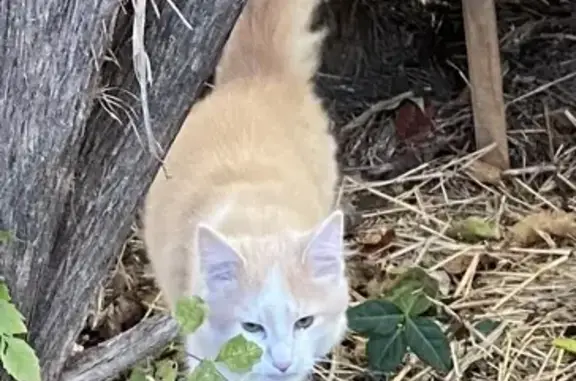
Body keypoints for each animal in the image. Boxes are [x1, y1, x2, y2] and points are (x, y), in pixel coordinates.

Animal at [144, 0, 352, 378]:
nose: (283, 363)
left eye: (304, 322)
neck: (260, 220)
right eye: (252, 328)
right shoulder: (204, 355)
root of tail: (254, 78)